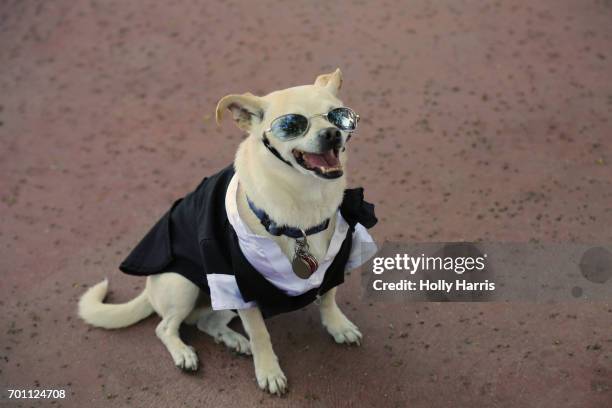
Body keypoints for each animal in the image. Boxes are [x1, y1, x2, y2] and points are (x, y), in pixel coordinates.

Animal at [80, 69, 378, 396]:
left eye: (338, 116)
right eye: (291, 125)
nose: (332, 134)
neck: (304, 200)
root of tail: (148, 290)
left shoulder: (336, 261)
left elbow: (327, 297)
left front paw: (338, 326)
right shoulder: (240, 285)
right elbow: (261, 334)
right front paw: (269, 371)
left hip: (219, 303)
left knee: (205, 321)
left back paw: (234, 340)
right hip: (183, 285)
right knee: (165, 327)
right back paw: (185, 353)